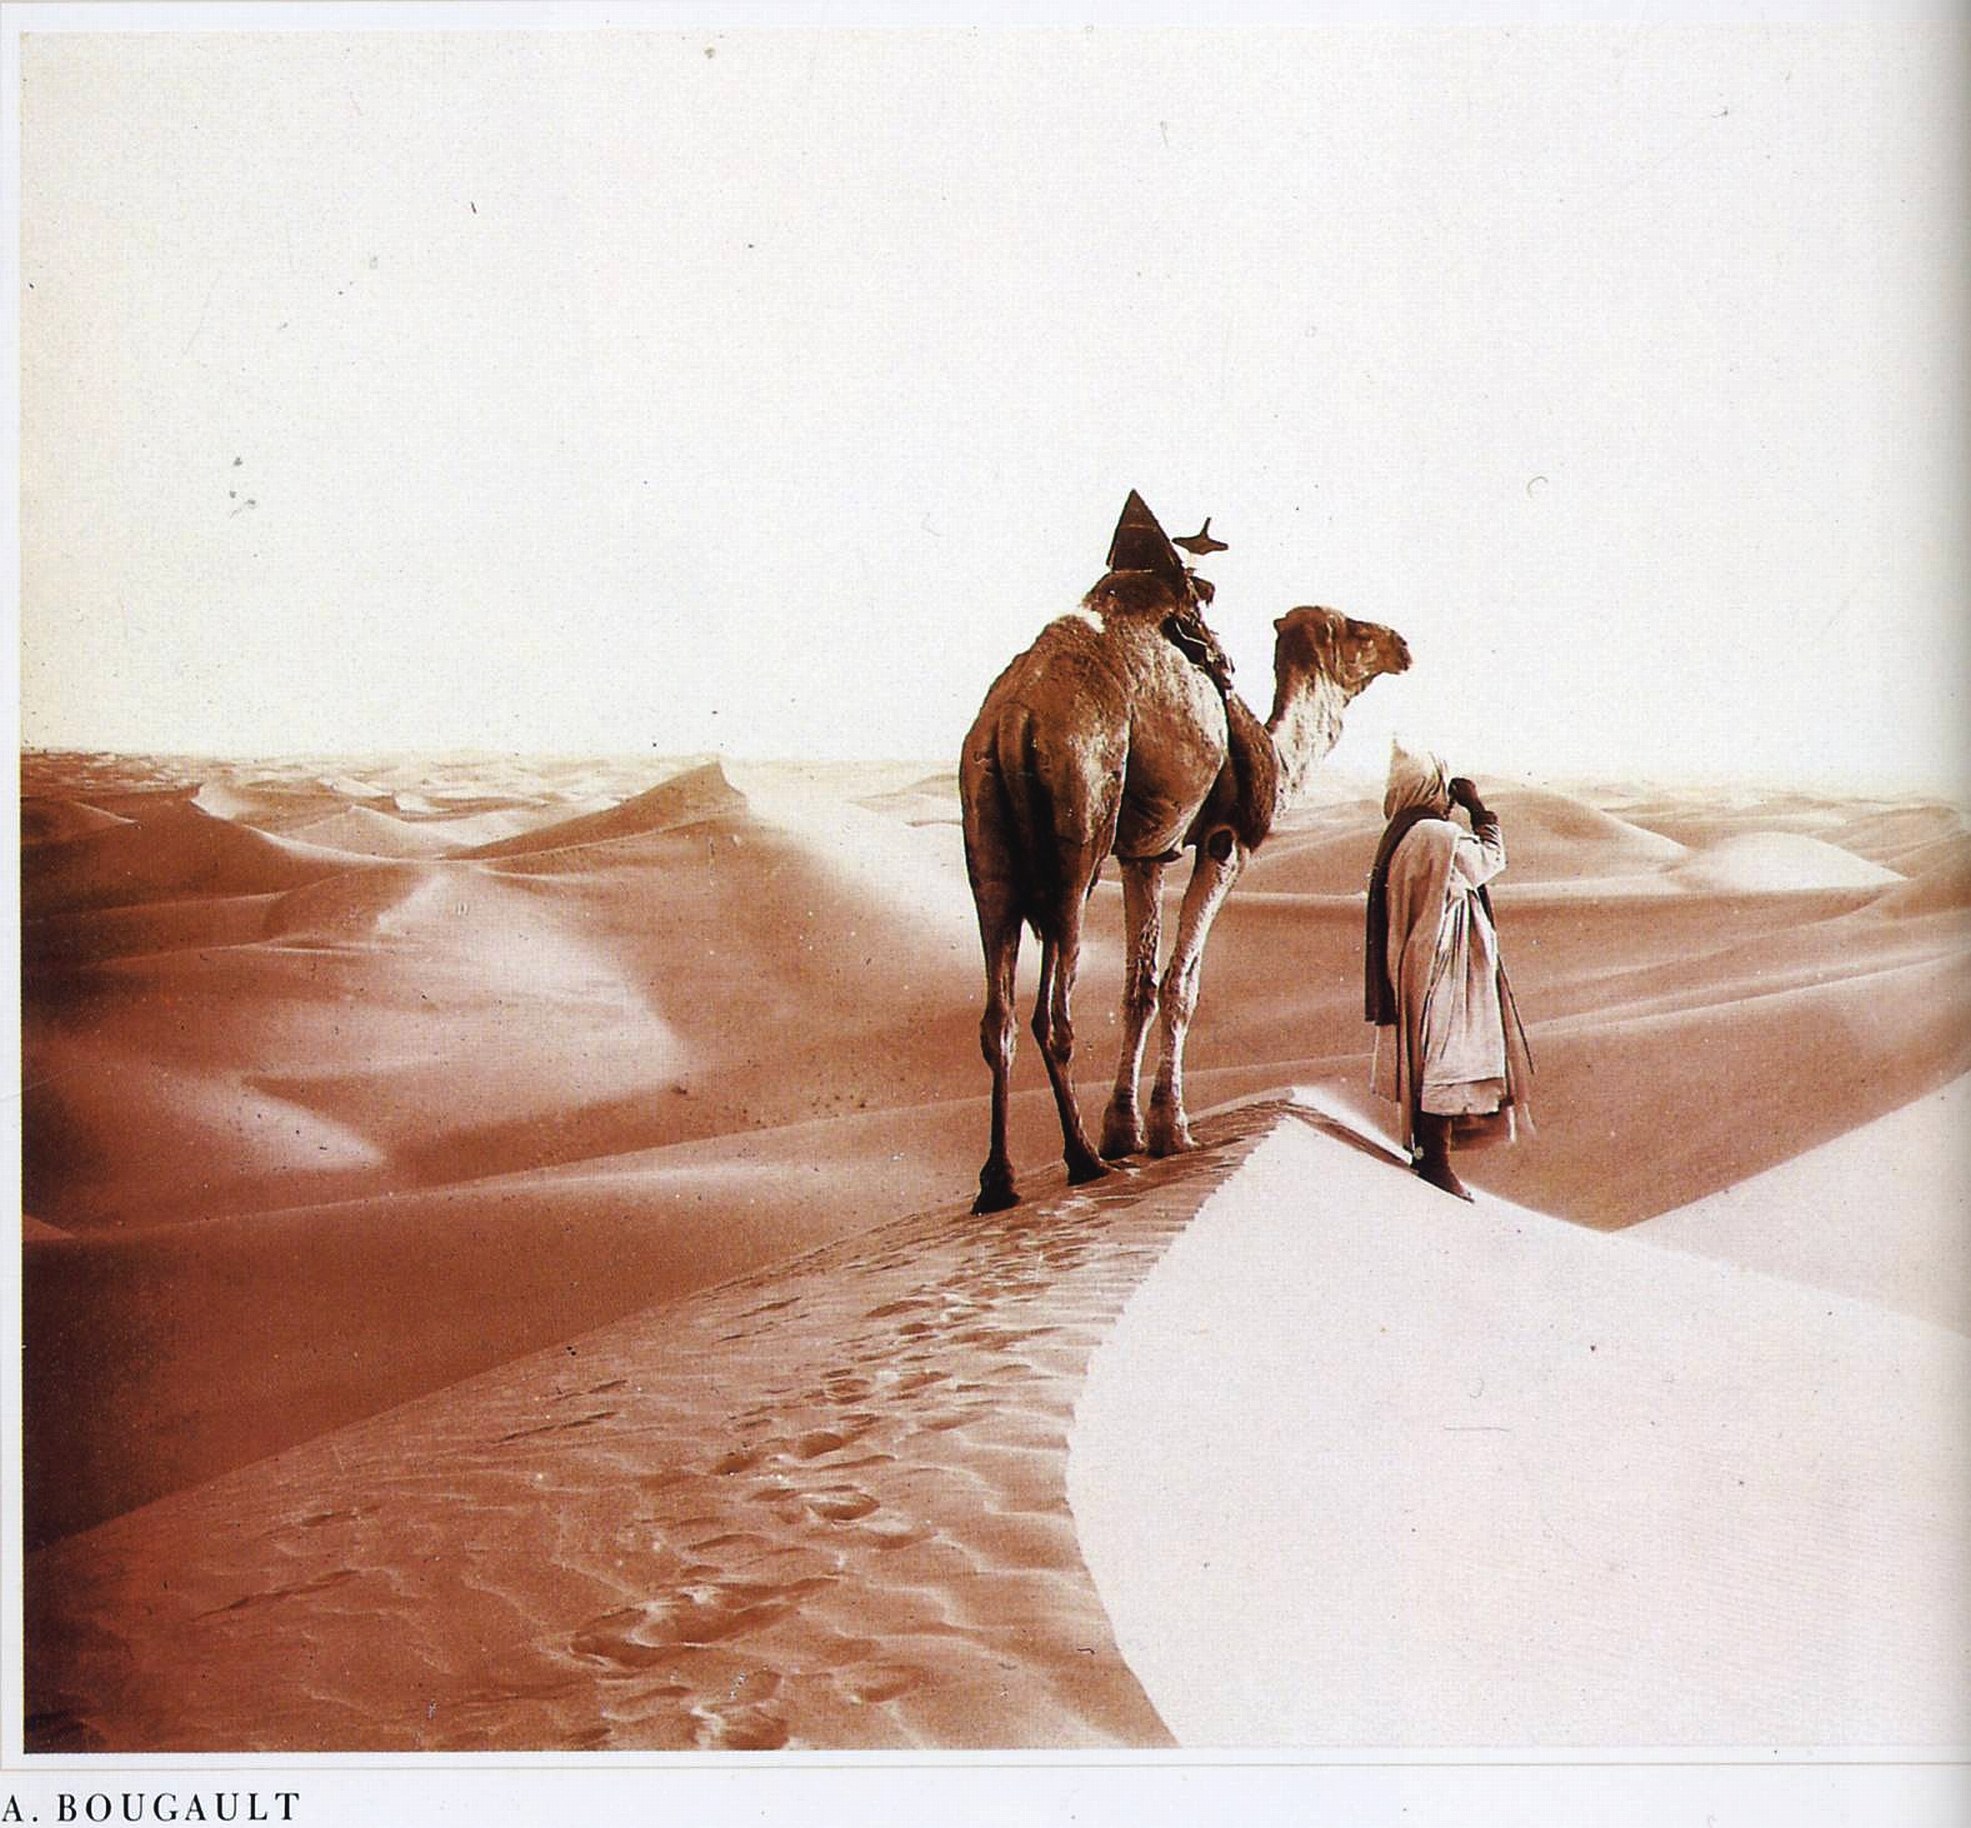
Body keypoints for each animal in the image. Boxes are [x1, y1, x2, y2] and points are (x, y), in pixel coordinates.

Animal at [959, 531, 1411, 1215]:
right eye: (1354, 628)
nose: (1402, 644)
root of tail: (1014, 718)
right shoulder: (1225, 842)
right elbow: (1181, 984)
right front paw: (1169, 1129)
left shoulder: (1145, 853)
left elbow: (1139, 987)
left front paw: (1126, 1130)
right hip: (1077, 835)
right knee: (1051, 1012)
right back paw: (1081, 1160)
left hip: (987, 846)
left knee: (998, 1017)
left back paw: (999, 1181)